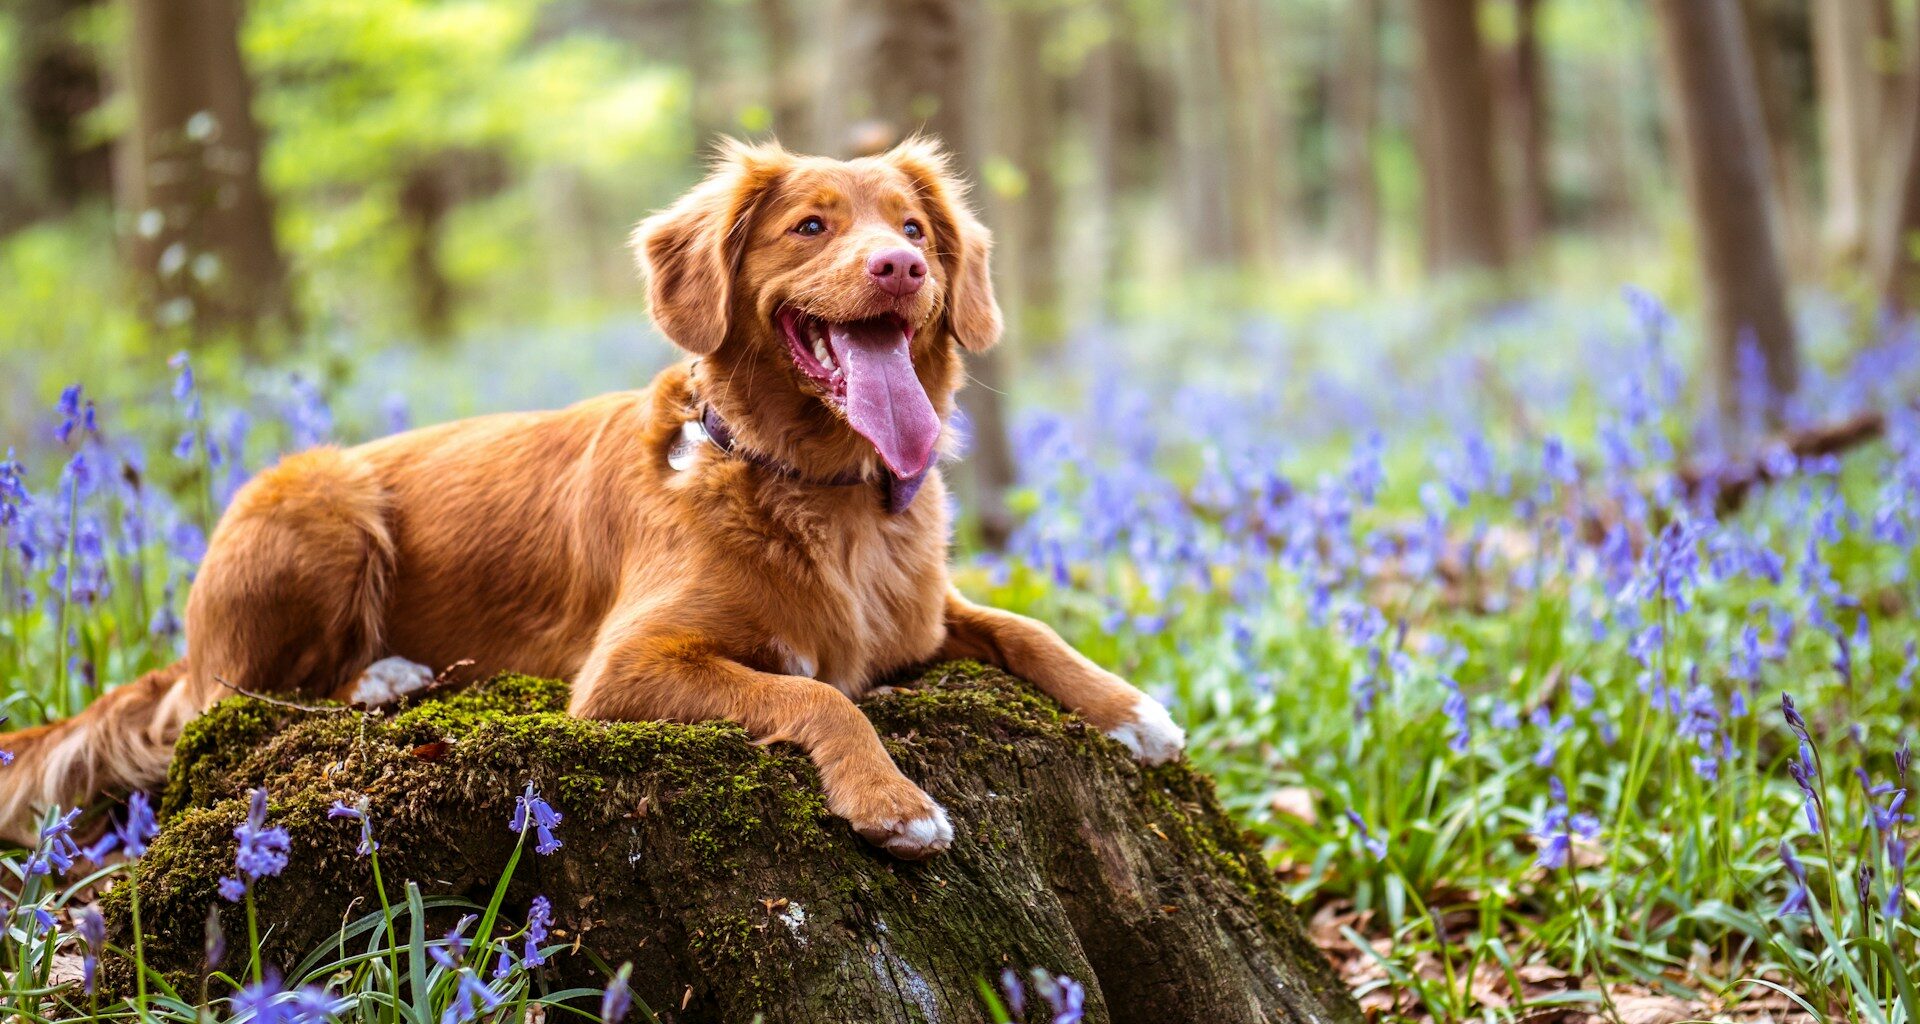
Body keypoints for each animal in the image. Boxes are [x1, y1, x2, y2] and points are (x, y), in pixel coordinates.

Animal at [0, 135, 1175, 853]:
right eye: (812, 226)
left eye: (917, 229)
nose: (900, 269)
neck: (815, 487)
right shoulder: (626, 669)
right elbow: (819, 694)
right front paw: (893, 802)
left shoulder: (921, 618)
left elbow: (1024, 627)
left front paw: (1133, 710)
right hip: (319, 498)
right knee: (233, 697)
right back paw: (382, 676)